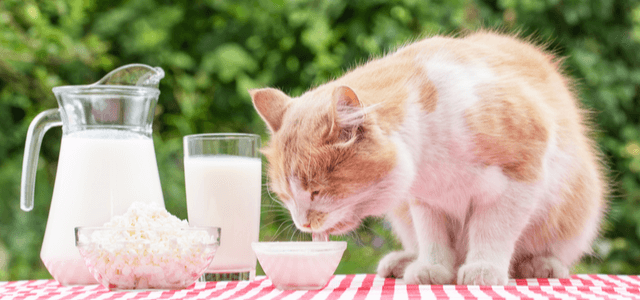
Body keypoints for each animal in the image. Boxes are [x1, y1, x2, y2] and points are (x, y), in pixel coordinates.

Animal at [249, 31, 604, 286]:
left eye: (316, 191)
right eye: (285, 196)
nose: (303, 223)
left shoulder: (519, 176)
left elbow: (493, 230)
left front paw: (483, 268)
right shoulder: (424, 199)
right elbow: (432, 237)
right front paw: (433, 268)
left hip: (577, 202)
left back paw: (541, 264)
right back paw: (405, 260)